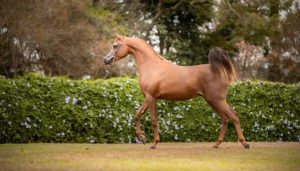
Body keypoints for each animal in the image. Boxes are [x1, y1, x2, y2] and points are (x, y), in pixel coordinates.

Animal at [104, 34, 250, 149]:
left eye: (115, 46)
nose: (105, 60)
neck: (152, 66)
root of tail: (219, 71)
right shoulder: (150, 98)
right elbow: (137, 115)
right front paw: (142, 138)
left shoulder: (150, 97)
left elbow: (153, 120)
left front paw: (154, 143)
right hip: (212, 101)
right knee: (225, 118)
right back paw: (217, 143)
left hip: (218, 100)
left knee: (234, 116)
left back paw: (244, 143)